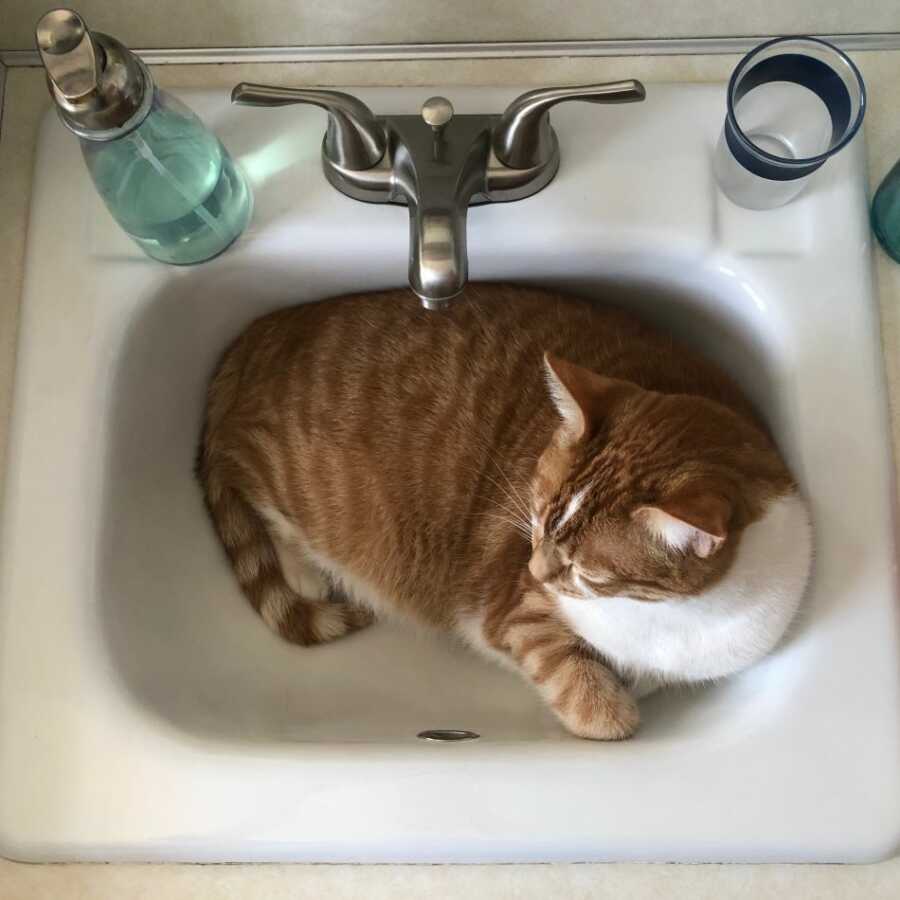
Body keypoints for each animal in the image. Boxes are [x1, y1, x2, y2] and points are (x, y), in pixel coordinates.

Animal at [199, 286, 816, 740]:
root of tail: (262, 329)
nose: (538, 570)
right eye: (537, 518)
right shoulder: (513, 613)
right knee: (244, 482)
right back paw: (304, 569)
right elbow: (600, 709)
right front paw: (611, 704)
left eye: (588, 571)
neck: (667, 620)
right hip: (292, 477)